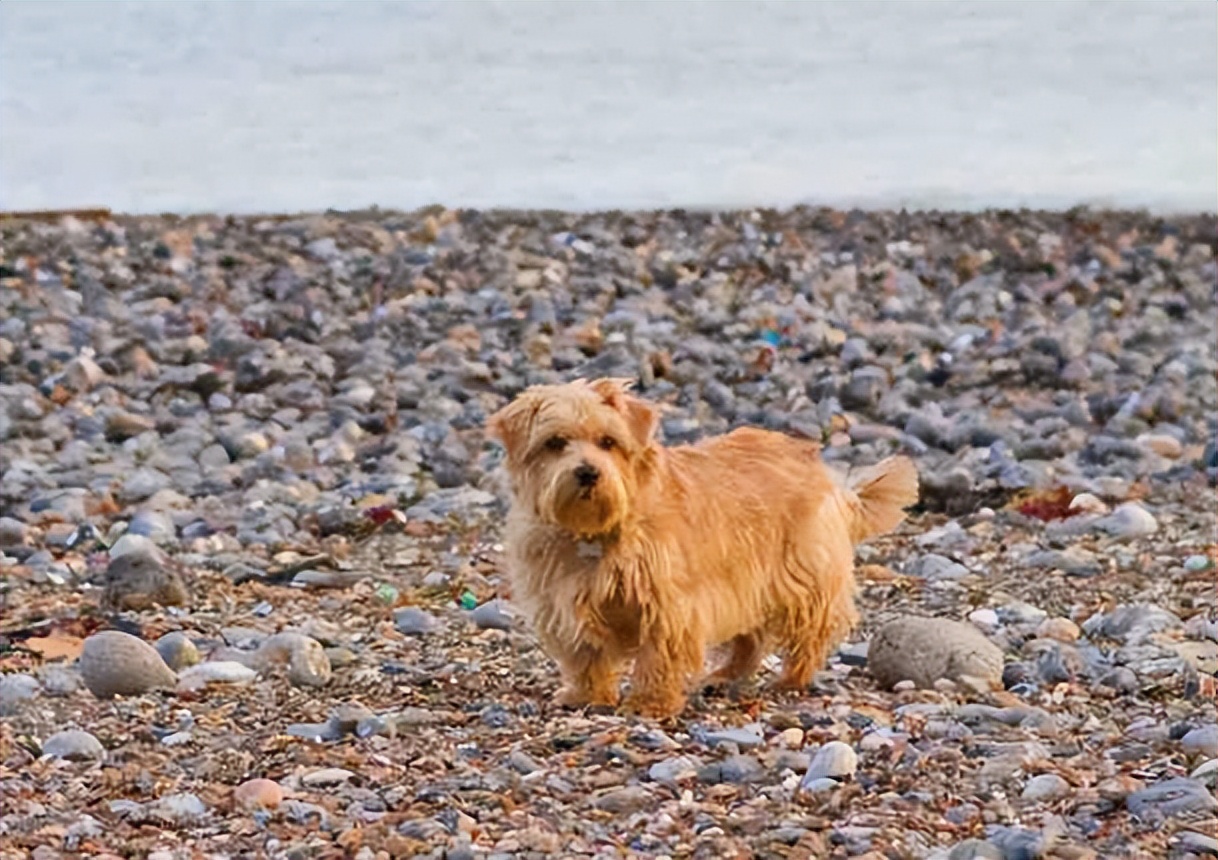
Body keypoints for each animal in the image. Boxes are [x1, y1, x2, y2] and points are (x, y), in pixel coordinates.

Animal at [484, 377, 915, 716]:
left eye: (608, 442)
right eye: (555, 442)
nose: (588, 472)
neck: (595, 531)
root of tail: (822, 470)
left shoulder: (669, 606)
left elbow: (659, 655)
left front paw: (650, 703)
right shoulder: (564, 602)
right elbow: (586, 655)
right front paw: (587, 695)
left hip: (801, 577)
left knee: (810, 632)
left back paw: (792, 679)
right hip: (748, 586)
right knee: (750, 640)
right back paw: (725, 675)